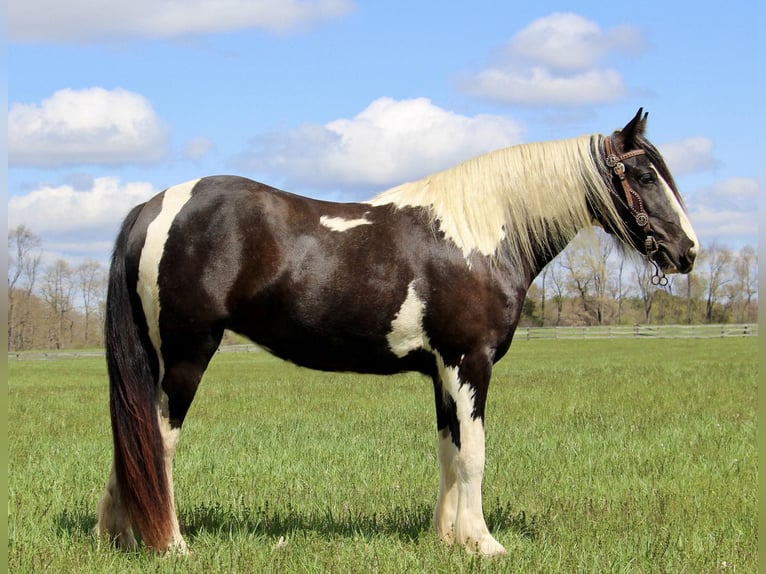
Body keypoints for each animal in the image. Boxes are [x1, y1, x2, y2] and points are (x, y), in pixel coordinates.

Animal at [93, 109, 700, 560]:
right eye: (645, 176)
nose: (688, 252)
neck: (478, 235)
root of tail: (153, 207)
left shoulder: (442, 371)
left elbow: (449, 451)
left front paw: (448, 539)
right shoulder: (469, 363)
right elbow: (474, 454)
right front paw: (485, 543)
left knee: (133, 442)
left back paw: (118, 535)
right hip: (186, 356)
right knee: (158, 442)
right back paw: (171, 543)